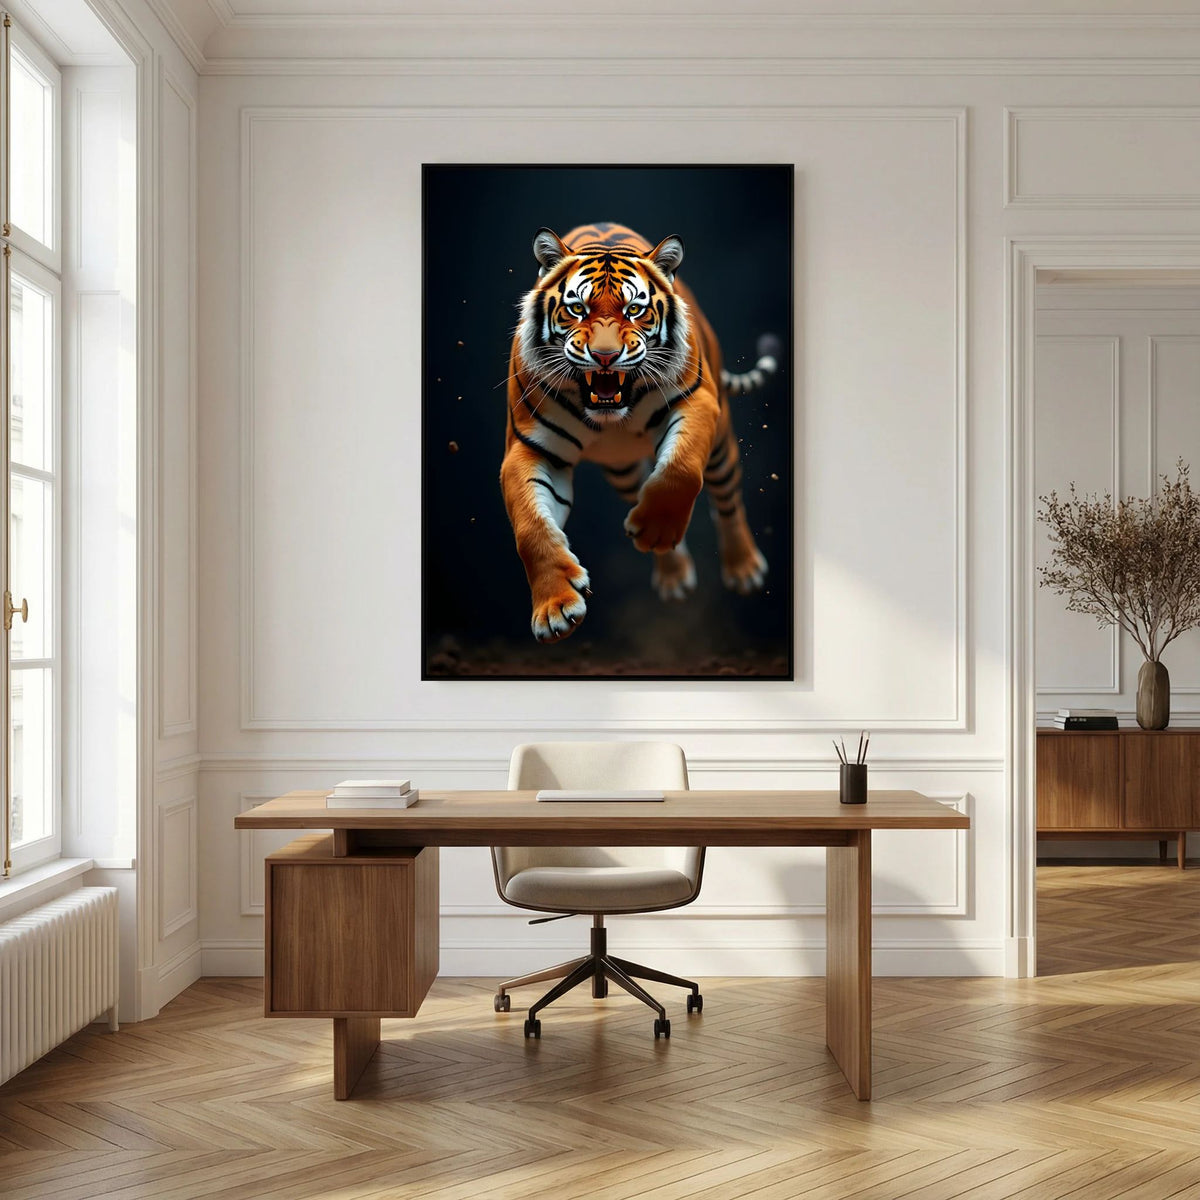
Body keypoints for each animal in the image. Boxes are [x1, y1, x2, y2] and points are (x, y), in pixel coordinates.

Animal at [501, 221, 779, 644]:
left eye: (635, 309)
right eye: (577, 308)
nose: (604, 356)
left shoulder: (697, 403)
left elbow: (680, 470)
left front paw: (656, 529)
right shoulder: (528, 448)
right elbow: (530, 528)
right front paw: (555, 610)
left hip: (721, 448)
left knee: (727, 500)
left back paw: (744, 568)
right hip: (621, 470)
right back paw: (673, 576)